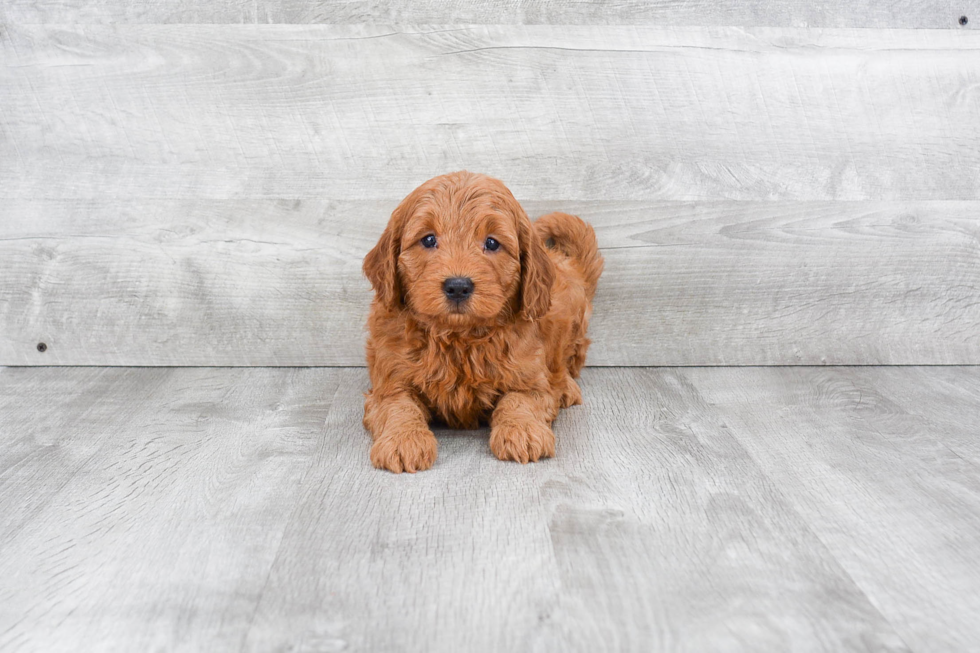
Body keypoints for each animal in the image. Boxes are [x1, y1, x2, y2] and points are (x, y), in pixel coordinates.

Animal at [364, 171, 600, 472]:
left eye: (491, 243)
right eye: (428, 240)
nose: (458, 286)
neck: (458, 337)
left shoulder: (531, 380)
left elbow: (519, 400)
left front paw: (522, 431)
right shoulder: (389, 382)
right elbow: (398, 406)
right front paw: (404, 440)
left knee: (568, 361)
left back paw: (567, 387)